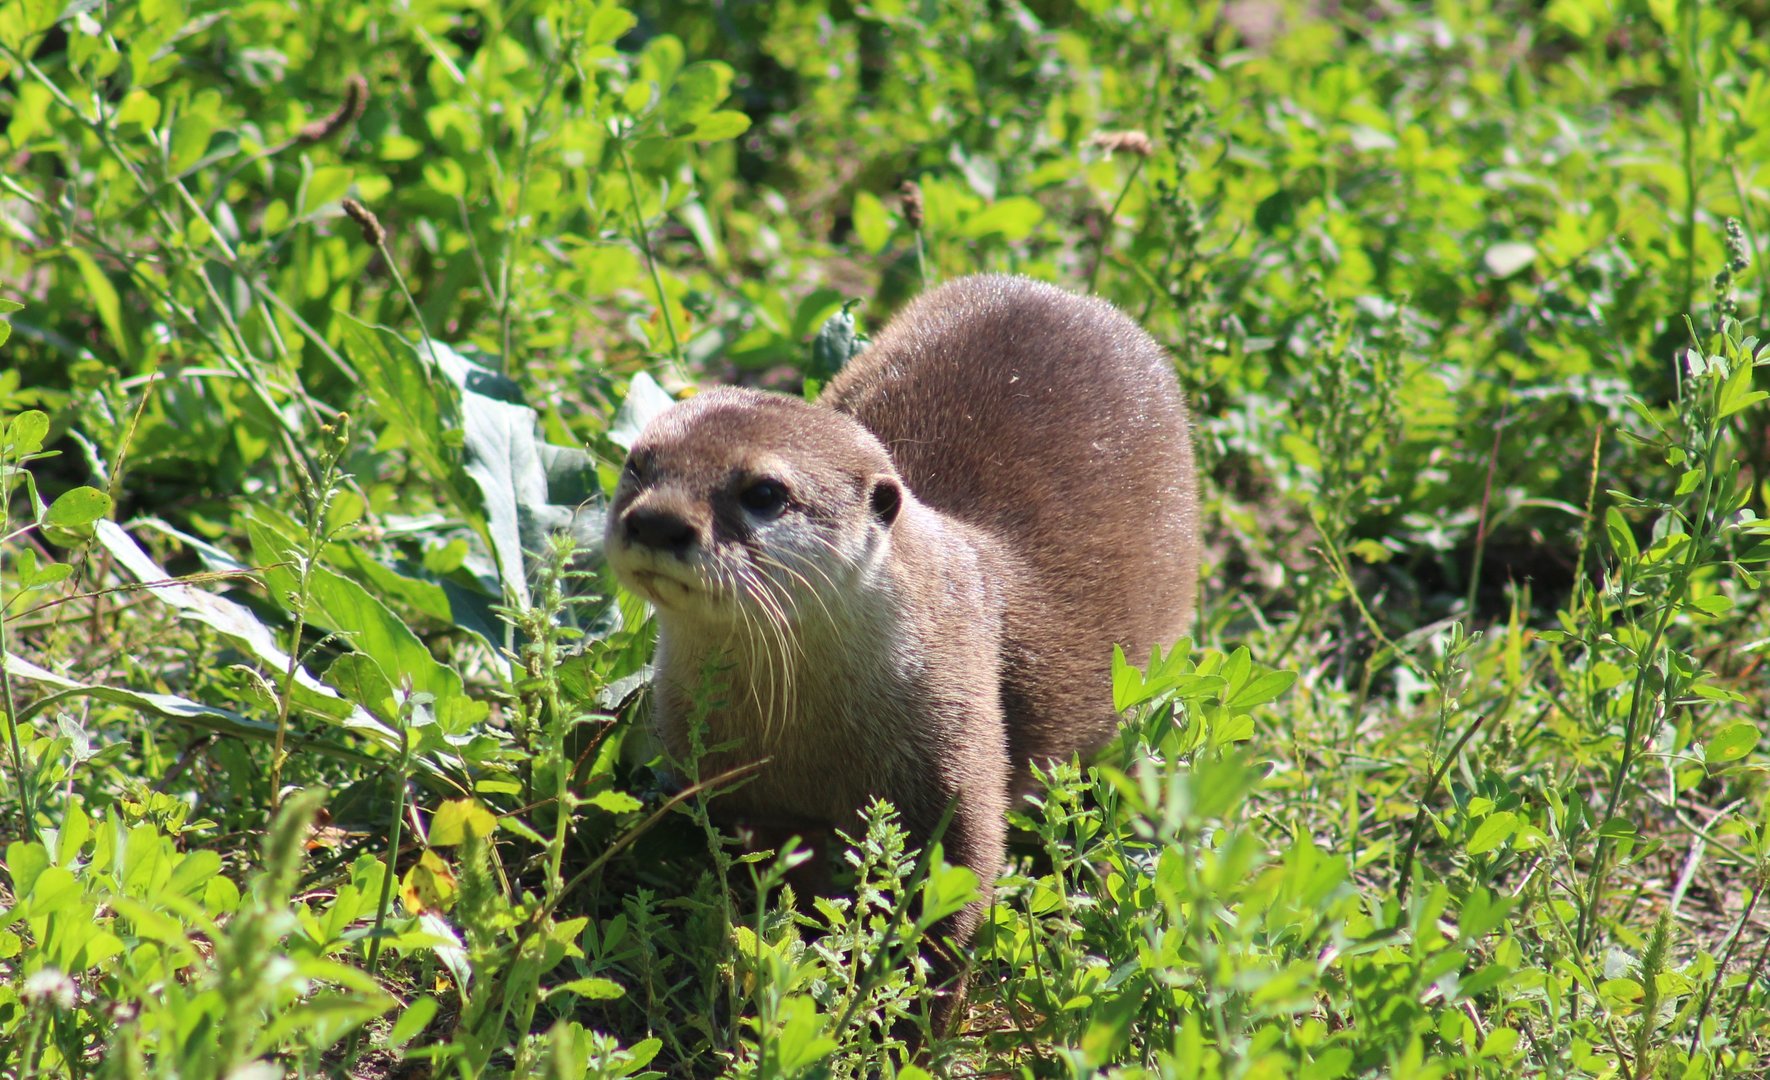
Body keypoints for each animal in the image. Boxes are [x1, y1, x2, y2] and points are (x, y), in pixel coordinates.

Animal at [604, 274, 1198, 1024]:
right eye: (637, 462)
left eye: (764, 492)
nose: (656, 521)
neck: (804, 741)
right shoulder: (723, 779)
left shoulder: (957, 753)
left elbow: (950, 909)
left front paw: (911, 1023)